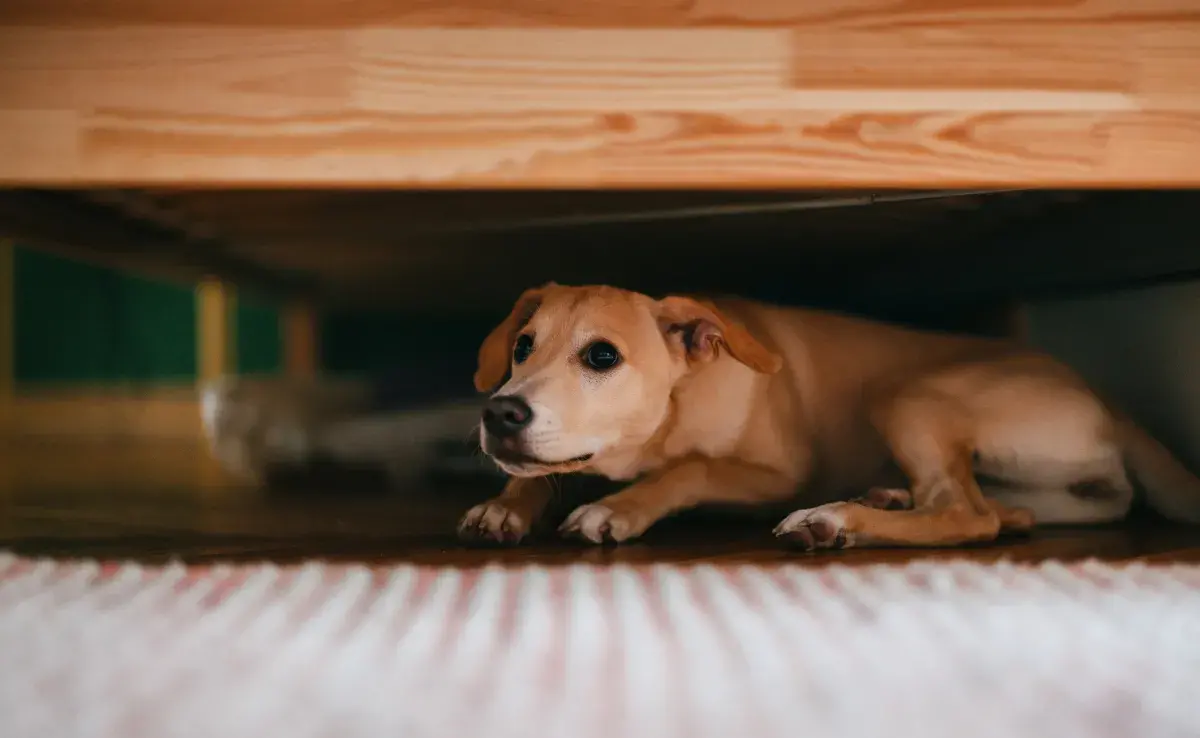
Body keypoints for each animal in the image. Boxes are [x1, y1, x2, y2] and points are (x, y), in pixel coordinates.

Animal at [456, 283, 1200, 549]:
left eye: (602, 356)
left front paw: (620, 507)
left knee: (967, 515)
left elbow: (691, 470)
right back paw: (884, 498)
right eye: (523, 347)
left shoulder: (778, 473)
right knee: (998, 509)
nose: (500, 413)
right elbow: (540, 473)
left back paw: (837, 519)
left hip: (905, 394)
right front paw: (506, 505)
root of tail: (1106, 399)